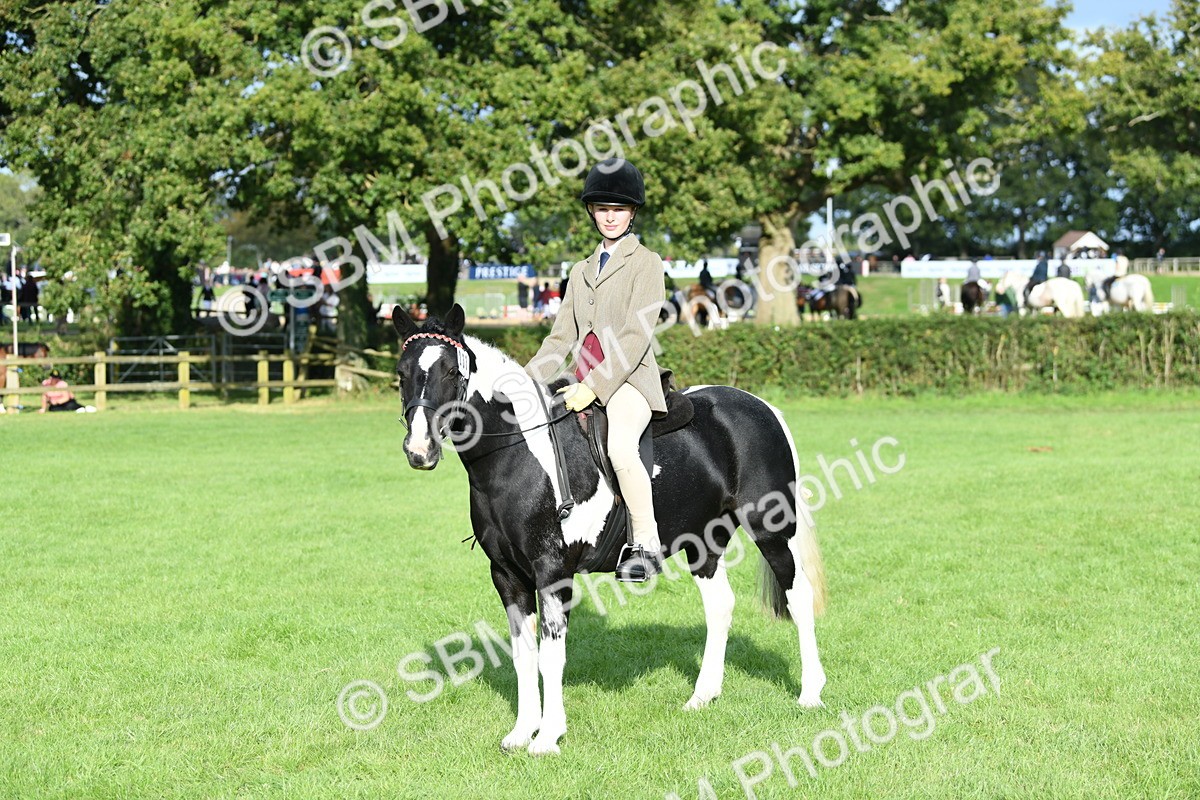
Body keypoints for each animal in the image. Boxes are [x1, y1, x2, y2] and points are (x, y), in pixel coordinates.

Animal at [392, 304, 827, 755]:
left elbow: (551, 655)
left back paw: (810, 693)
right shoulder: (507, 575)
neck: (518, 452)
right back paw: (703, 696)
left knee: (799, 598)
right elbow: (523, 654)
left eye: (450, 372)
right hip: (704, 544)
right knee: (720, 605)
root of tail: (760, 407)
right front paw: (522, 731)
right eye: (401, 373)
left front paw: (548, 736)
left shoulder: (553, 572)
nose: (419, 450)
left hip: (772, 531)